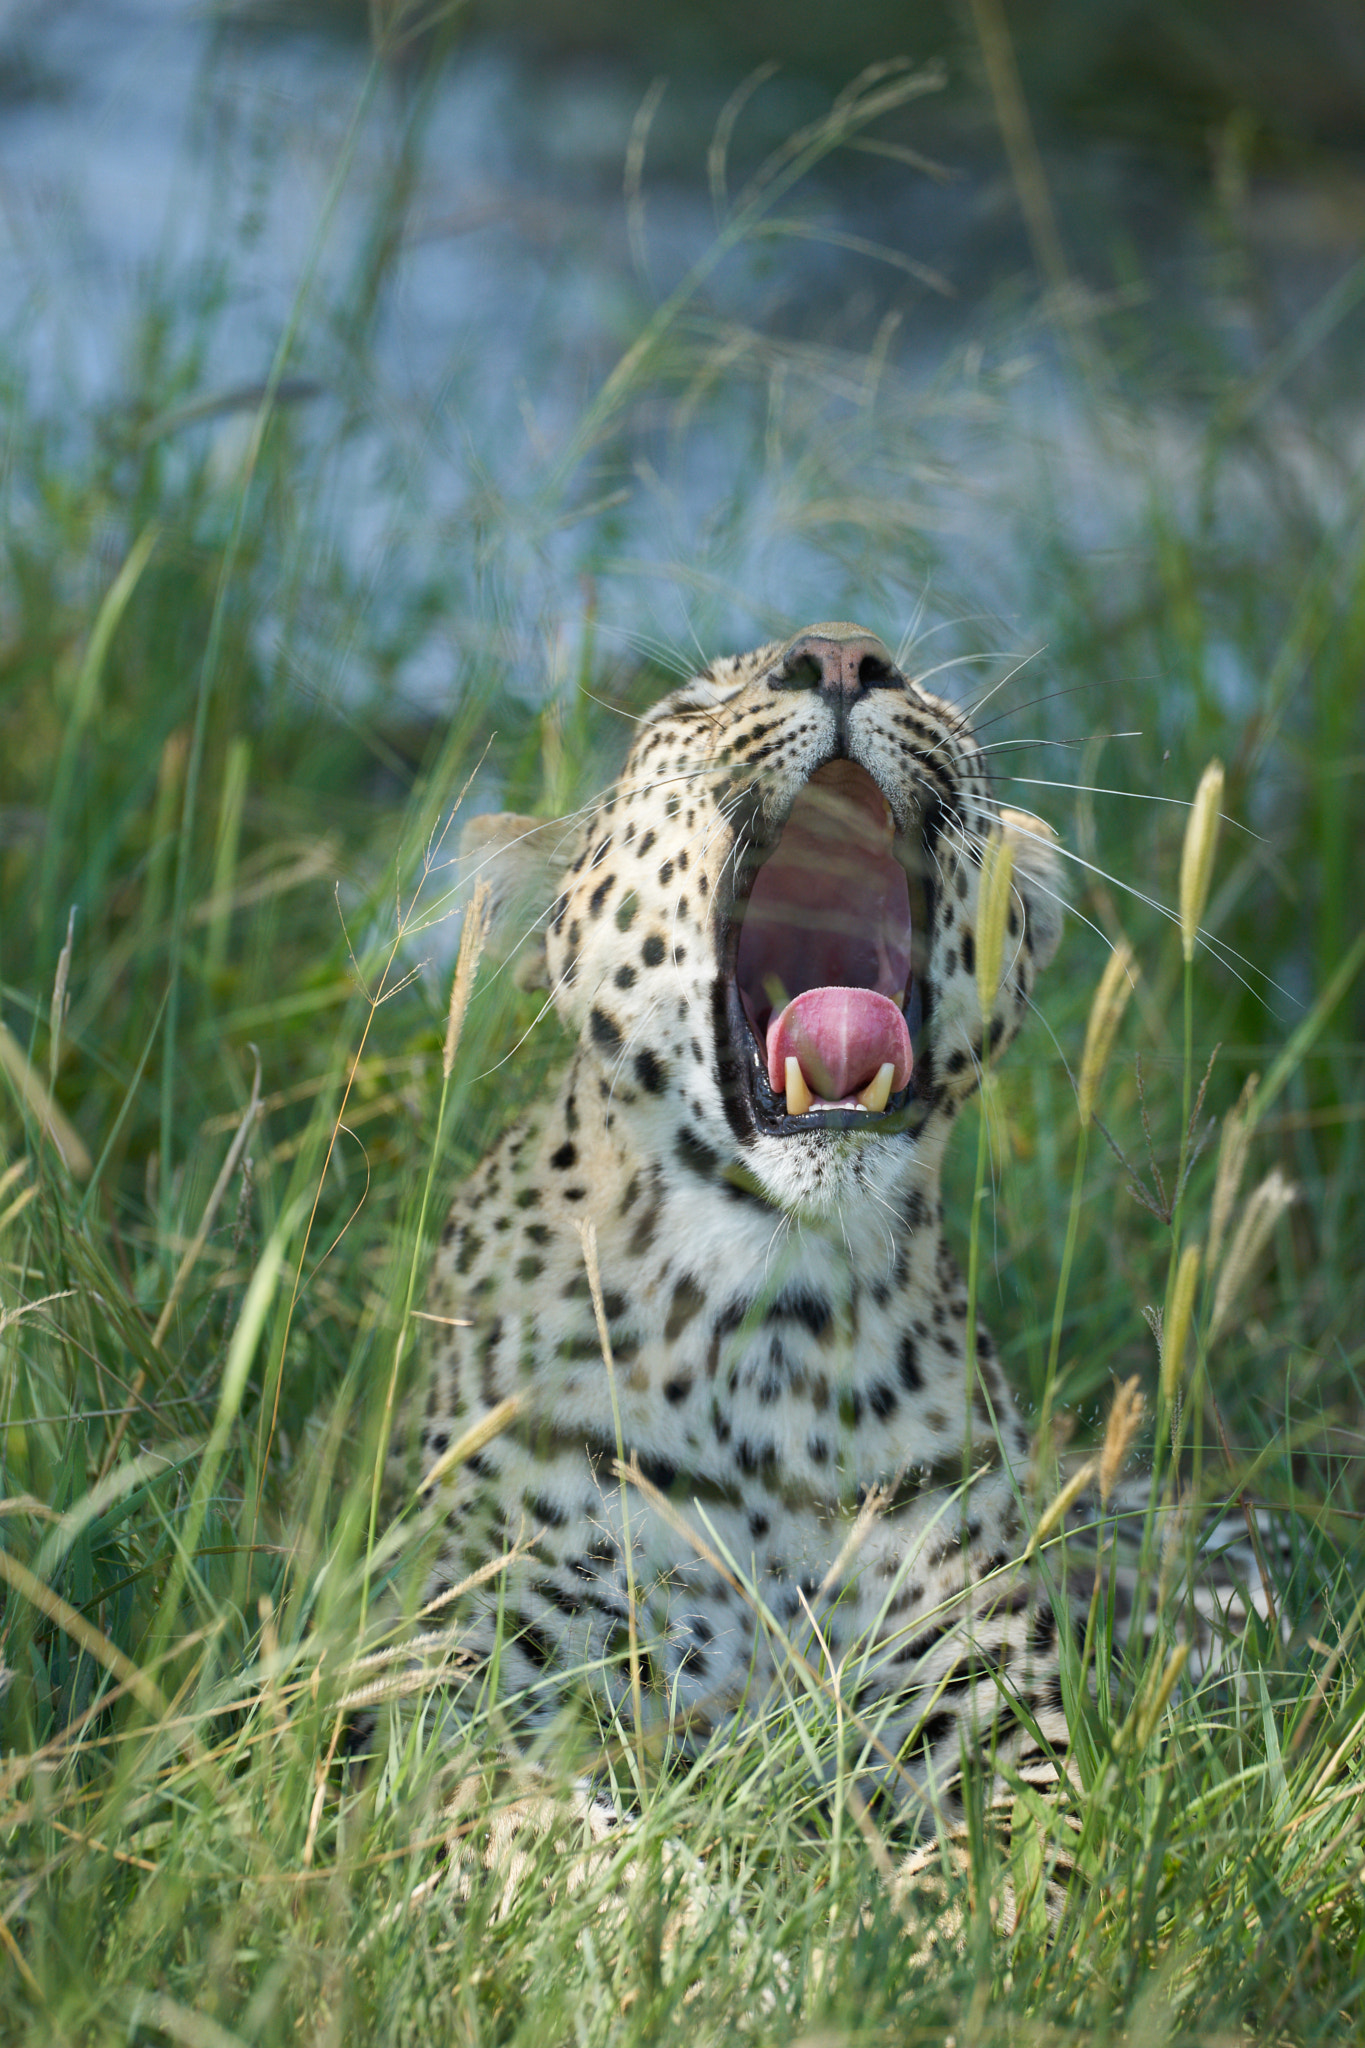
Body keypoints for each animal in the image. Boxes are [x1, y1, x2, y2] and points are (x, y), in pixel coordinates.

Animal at [405, 614, 1064, 1818]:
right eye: (688, 711)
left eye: (931, 698)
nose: (845, 654)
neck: (767, 1332)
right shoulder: (478, 1677)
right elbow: (543, 1826)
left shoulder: (990, 1689)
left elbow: (1058, 1839)